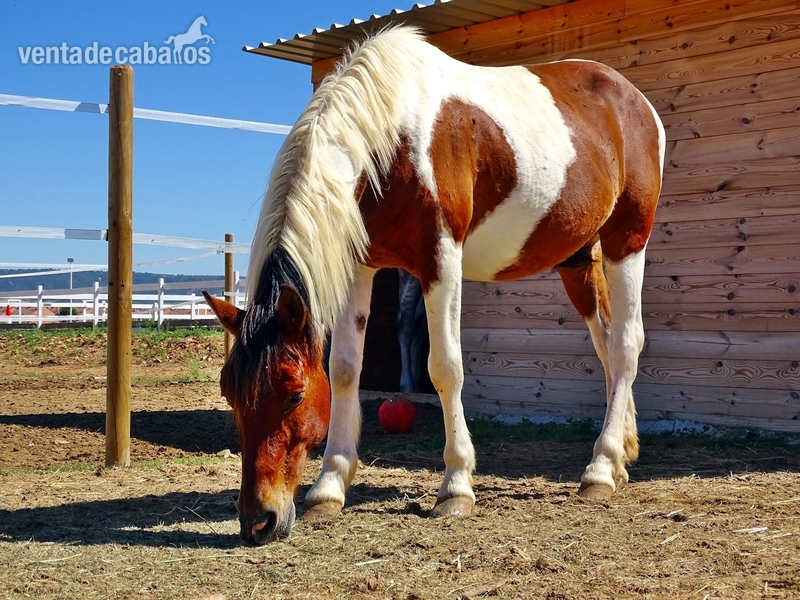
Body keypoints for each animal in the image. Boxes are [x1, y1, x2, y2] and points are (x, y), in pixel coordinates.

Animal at [204, 26, 665, 545]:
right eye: (229, 393)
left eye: (295, 393)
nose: (256, 520)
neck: (391, 134)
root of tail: (635, 101)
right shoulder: (360, 266)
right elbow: (344, 368)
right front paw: (329, 488)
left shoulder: (441, 260)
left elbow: (445, 368)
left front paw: (456, 486)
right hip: (578, 259)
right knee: (607, 345)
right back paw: (621, 454)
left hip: (627, 242)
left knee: (626, 344)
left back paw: (600, 470)